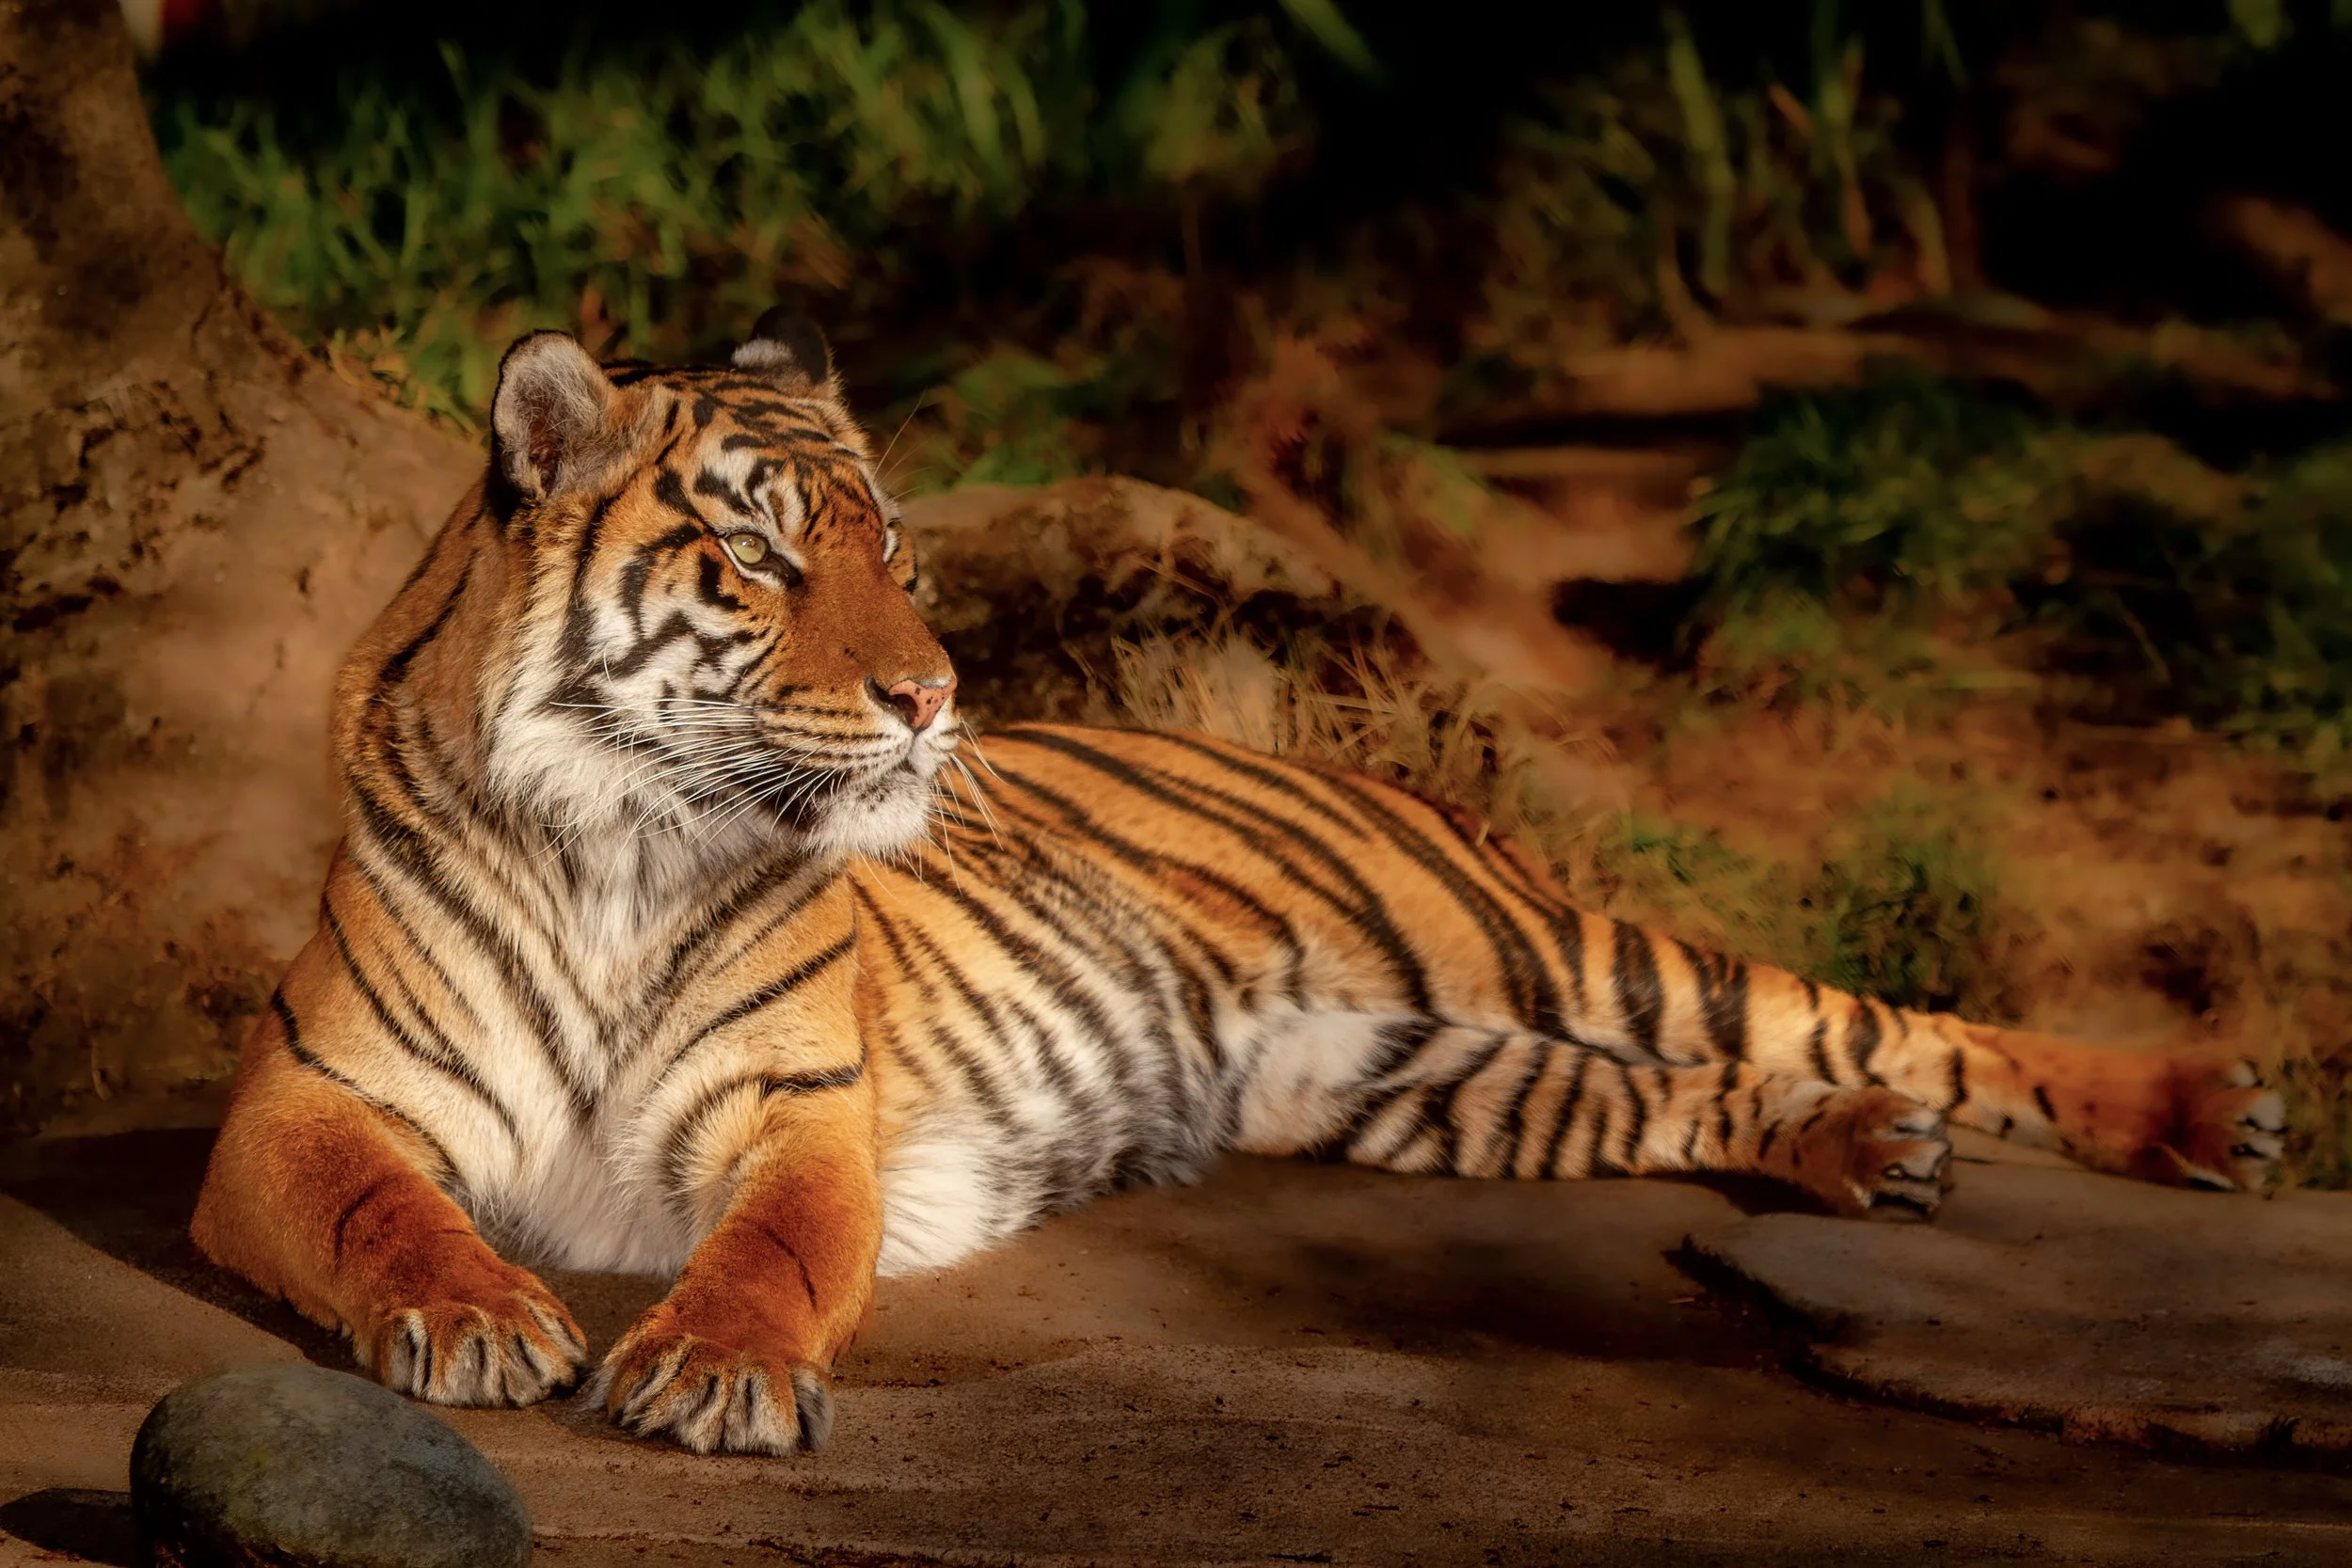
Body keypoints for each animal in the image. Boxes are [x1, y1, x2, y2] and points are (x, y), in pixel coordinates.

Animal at [190, 310, 2288, 1457]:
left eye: (901, 554)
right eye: (765, 560)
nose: (935, 695)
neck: (624, 840)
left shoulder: (806, 1110)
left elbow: (773, 1249)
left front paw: (709, 1365)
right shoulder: (309, 1099)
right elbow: (386, 1210)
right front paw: (476, 1316)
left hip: (1552, 949)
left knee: (1879, 1014)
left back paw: (2202, 1110)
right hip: (1413, 1076)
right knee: (1690, 1088)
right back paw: (1860, 1151)